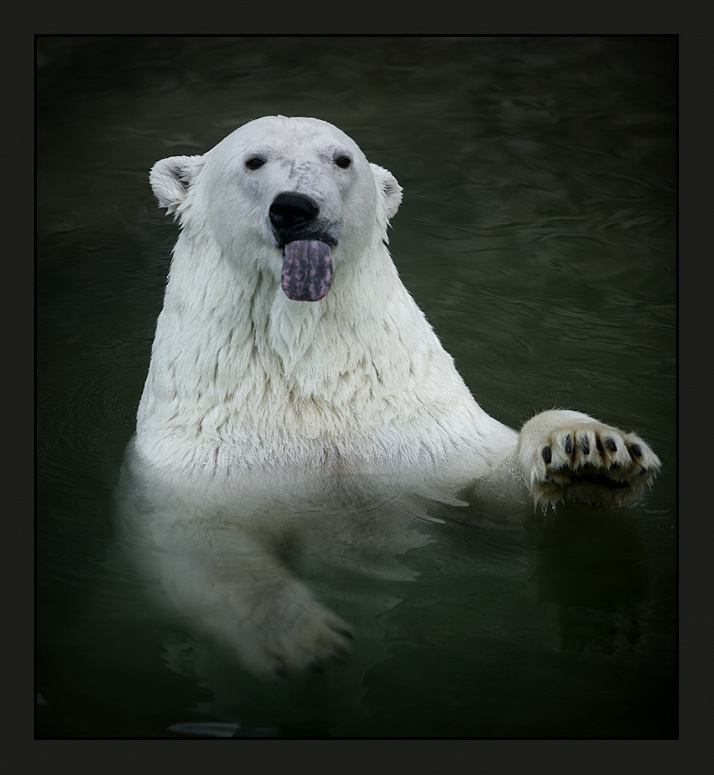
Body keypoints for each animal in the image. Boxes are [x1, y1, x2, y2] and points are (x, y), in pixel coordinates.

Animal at [120, 116, 660, 676]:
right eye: (253, 160)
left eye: (341, 159)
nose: (296, 208)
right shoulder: (204, 466)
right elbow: (202, 549)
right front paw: (306, 639)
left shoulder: (412, 438)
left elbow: (489, 494)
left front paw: (590, 451)